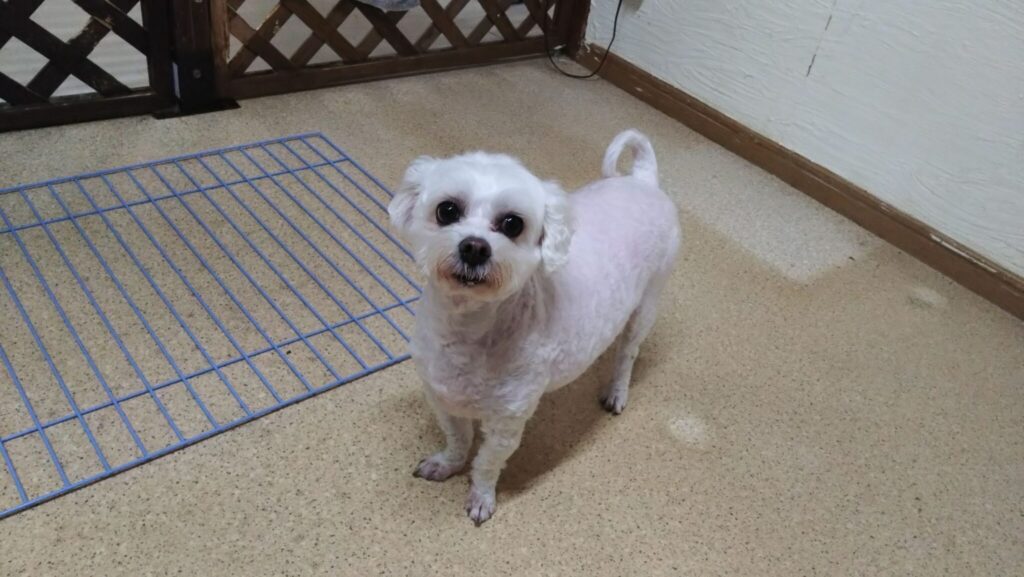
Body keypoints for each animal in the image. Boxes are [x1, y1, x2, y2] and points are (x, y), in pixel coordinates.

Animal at [388, 130, 680, 525]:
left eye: (513, 224)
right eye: (447, 210)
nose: (475, 247)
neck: (469, 328)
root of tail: (642, 180)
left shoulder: (507, 422)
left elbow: (486, 463)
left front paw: (481, 498)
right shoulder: (442, 398)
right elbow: (458, 440)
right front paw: (447, 464)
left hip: (647, 304)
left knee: (627, 355)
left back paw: (617, 392)